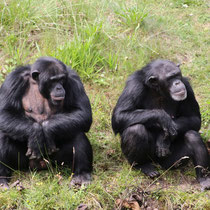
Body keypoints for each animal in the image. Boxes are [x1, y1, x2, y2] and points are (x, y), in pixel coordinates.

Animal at [0, 56, 92, 189]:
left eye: (61, 79)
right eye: (53, 81)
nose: (59, 87)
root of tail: (40, 165)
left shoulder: (73, 79)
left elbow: (83, 112)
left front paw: (46, 129)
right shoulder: (12, 81)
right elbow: (4, 112)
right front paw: (35, 133)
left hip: (56, 161)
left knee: (77, 133)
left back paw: (81, 176)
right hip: (23, 162)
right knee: (3, 135)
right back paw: (2, 179)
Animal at [112, 58, 210, 190]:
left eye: (177, 75)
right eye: (170, 78)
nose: (177, 83)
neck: (158, 90)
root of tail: (157, 163)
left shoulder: (187, 86)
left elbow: (194, 118)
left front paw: (163, 138)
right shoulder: (133, 85)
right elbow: (119, 115)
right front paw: (162, 117)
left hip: (170, 162)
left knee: (192, 136)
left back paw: (204, 179)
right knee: (135, 130)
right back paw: (143, 166)